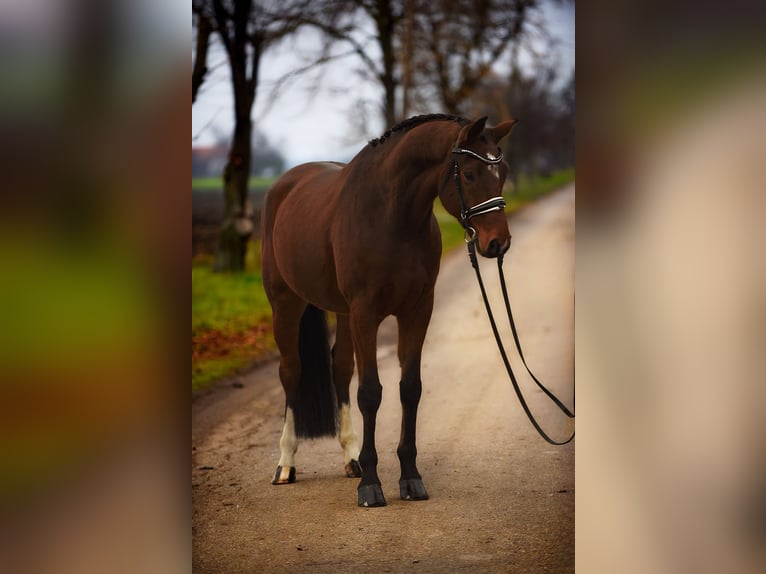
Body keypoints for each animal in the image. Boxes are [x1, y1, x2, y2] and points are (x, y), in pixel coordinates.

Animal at [260, 112, 520, 508]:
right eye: (470, 174)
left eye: (501, 171)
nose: (497, 243)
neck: (391, 216)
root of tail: (284, 185)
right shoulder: (366, 312)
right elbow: (370, 392)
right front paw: (371, 485)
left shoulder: (417, 310)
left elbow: (409, 388)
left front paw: (410, 478)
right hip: (286, 302)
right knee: (291, 372)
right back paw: (286, 464)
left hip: (342, 313)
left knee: (339, 369)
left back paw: (350, 458)